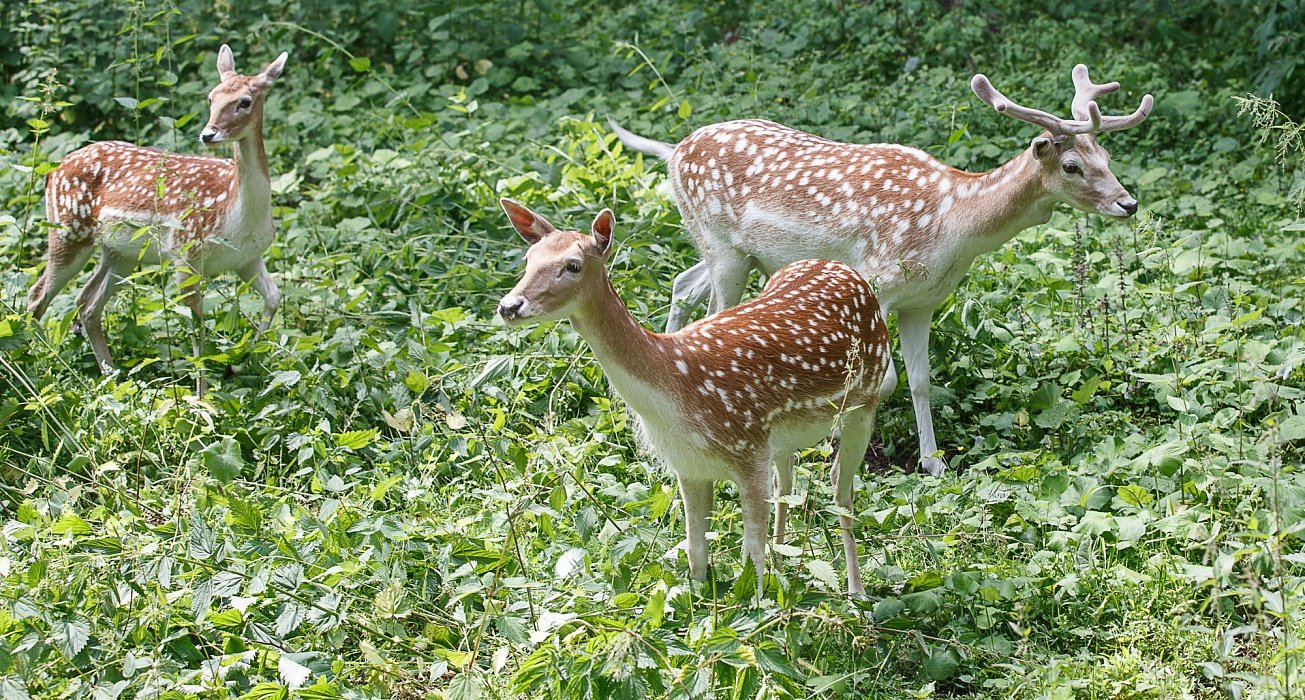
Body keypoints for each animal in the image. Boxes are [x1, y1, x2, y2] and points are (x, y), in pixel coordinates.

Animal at [25, 43, 291, 383]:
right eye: (211, 97)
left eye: (244, 101)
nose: (208, 134)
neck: (237, 214)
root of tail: (52, 171)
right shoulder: (185, 253)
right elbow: (197, 332)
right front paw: (203, 394)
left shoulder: (248, 258)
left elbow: (274, 298)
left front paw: (244, 360)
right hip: (68, 229)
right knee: (38, 294)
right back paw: (34, 368)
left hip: (119, 253)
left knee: (86, 302)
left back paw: (111, 375)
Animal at [493, 198, 892, 595]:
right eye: (528, 259)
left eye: (573, 265)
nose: (509, 306)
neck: (676, 385)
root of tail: (846, 270)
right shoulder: (689, 465)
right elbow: (695, 551)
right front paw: (699, 598)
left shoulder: (748, 451)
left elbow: (751, 559)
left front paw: (758, 605)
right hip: (784, 435)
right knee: (788, 480)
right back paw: (784, 569)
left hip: (864, 400)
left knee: (840, 489)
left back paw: (855, 591)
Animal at [610, 64, 1153, 475]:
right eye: (1071, 166)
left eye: (1106, 155)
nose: (1127, 203)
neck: (951, 224)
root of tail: (674, 150)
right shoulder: (875, 277)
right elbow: (884, 380)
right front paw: (840, 448)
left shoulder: (923, 302)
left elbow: (920, 380)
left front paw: (932, 462)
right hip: (723, 248)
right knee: (714, 312)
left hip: (728, 251)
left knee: (682, 284)